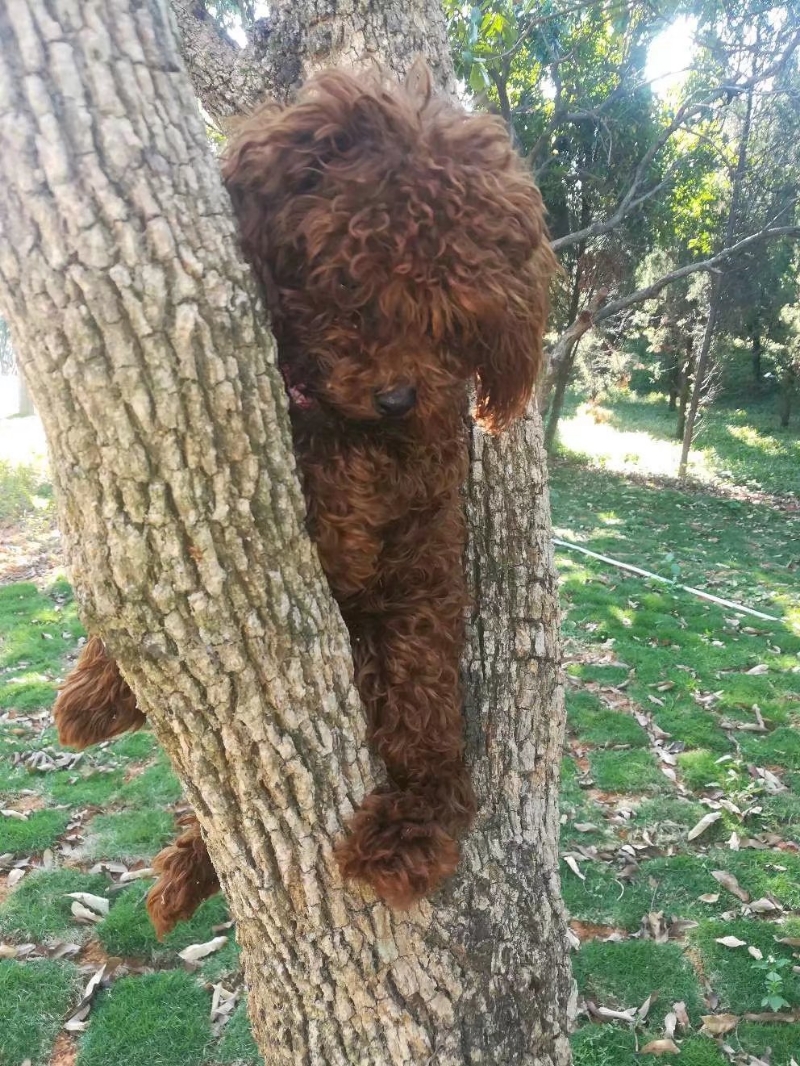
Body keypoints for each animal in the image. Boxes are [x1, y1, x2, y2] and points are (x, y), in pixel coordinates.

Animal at [51, 64, 558, 933]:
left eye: (451, 322)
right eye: (351, 282)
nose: (398, 397)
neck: (325, 410)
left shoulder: (375, 497)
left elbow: (335, 502)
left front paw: (101, 689)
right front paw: (94, 690)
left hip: (410, 651)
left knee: (437, 771)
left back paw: (400, 839)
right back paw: (184, 873)